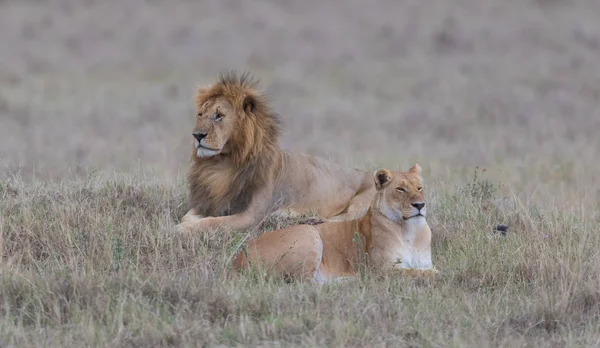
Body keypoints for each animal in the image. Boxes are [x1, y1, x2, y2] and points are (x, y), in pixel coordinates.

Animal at [173, 71, 378, 232]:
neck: (222, 164)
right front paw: (186, 223)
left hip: (361, 202)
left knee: (348, 219)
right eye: (200, 114)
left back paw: (307, 219)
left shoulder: (251, 216)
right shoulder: (210, 203)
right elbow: (188, 216)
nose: (197, 135)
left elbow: (213, 223)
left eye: (218, 116)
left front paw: (182, 229)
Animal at [232, 164, 438, 284]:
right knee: (303, 284)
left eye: (419, 188)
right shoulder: (381, 270)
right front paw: (437, 275)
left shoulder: (423, 262)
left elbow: (423, 269)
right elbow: (417, 273)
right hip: (308, 234)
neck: (410, 230)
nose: (420, 205)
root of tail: (238, 259)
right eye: (401, 189)